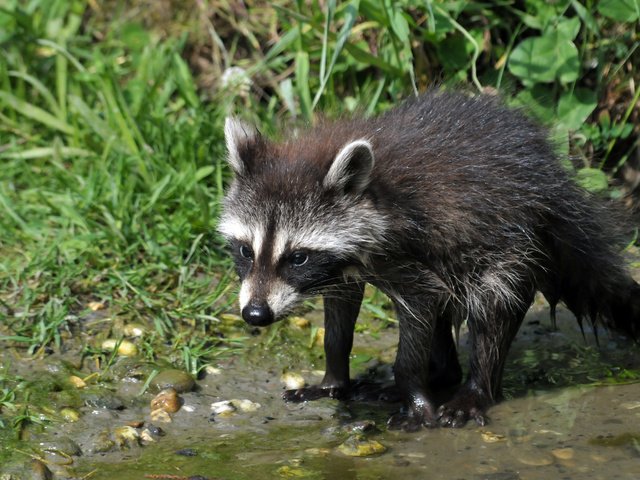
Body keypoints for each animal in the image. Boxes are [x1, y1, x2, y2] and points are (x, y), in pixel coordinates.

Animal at [219, 90, 640, 432]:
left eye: (298, 257)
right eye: (246, 250)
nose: (255, 315)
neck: (373, 192)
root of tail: (556, 181)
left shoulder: (409, 253)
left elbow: (421, 306)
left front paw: (416, 398)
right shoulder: (344, 268)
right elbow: (340, 320)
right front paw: (334, 379)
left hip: (513, 242)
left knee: (492, 308)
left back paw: (475, 387)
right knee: (446, 310)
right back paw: (442, 375)